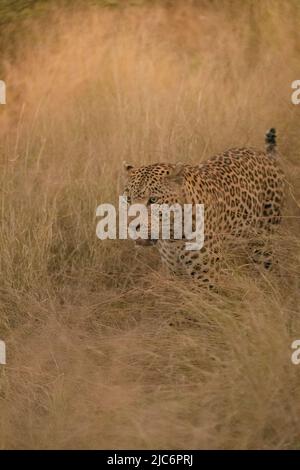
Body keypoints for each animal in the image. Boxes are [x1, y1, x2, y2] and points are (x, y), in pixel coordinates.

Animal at [122, 129, 286, 290]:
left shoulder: (206, 276)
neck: (172, 237)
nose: (132, 226)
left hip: (264, 241)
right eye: (129, 199)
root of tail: (264, 154)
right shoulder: (175, 272)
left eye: (153, 200)